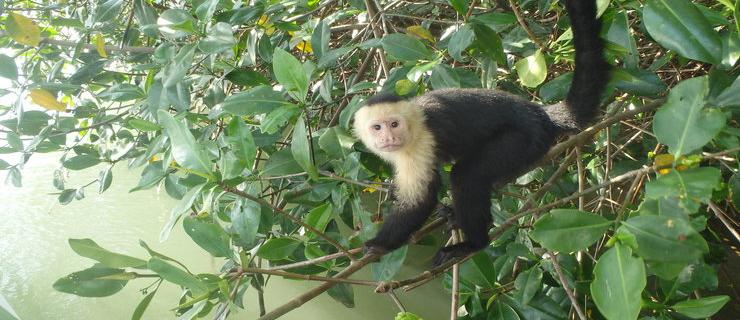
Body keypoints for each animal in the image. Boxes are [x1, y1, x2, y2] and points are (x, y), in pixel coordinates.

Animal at [356, 0, 608, 264]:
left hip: (524, 140)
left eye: (394, 124)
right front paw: (394, 192)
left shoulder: (420, 142)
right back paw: (455, 217)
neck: (413, 126)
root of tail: (540, 114)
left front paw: (380, 243)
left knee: (467, 176)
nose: (388, 137)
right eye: (377, 127)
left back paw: (473, 243)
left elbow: (421, 200)